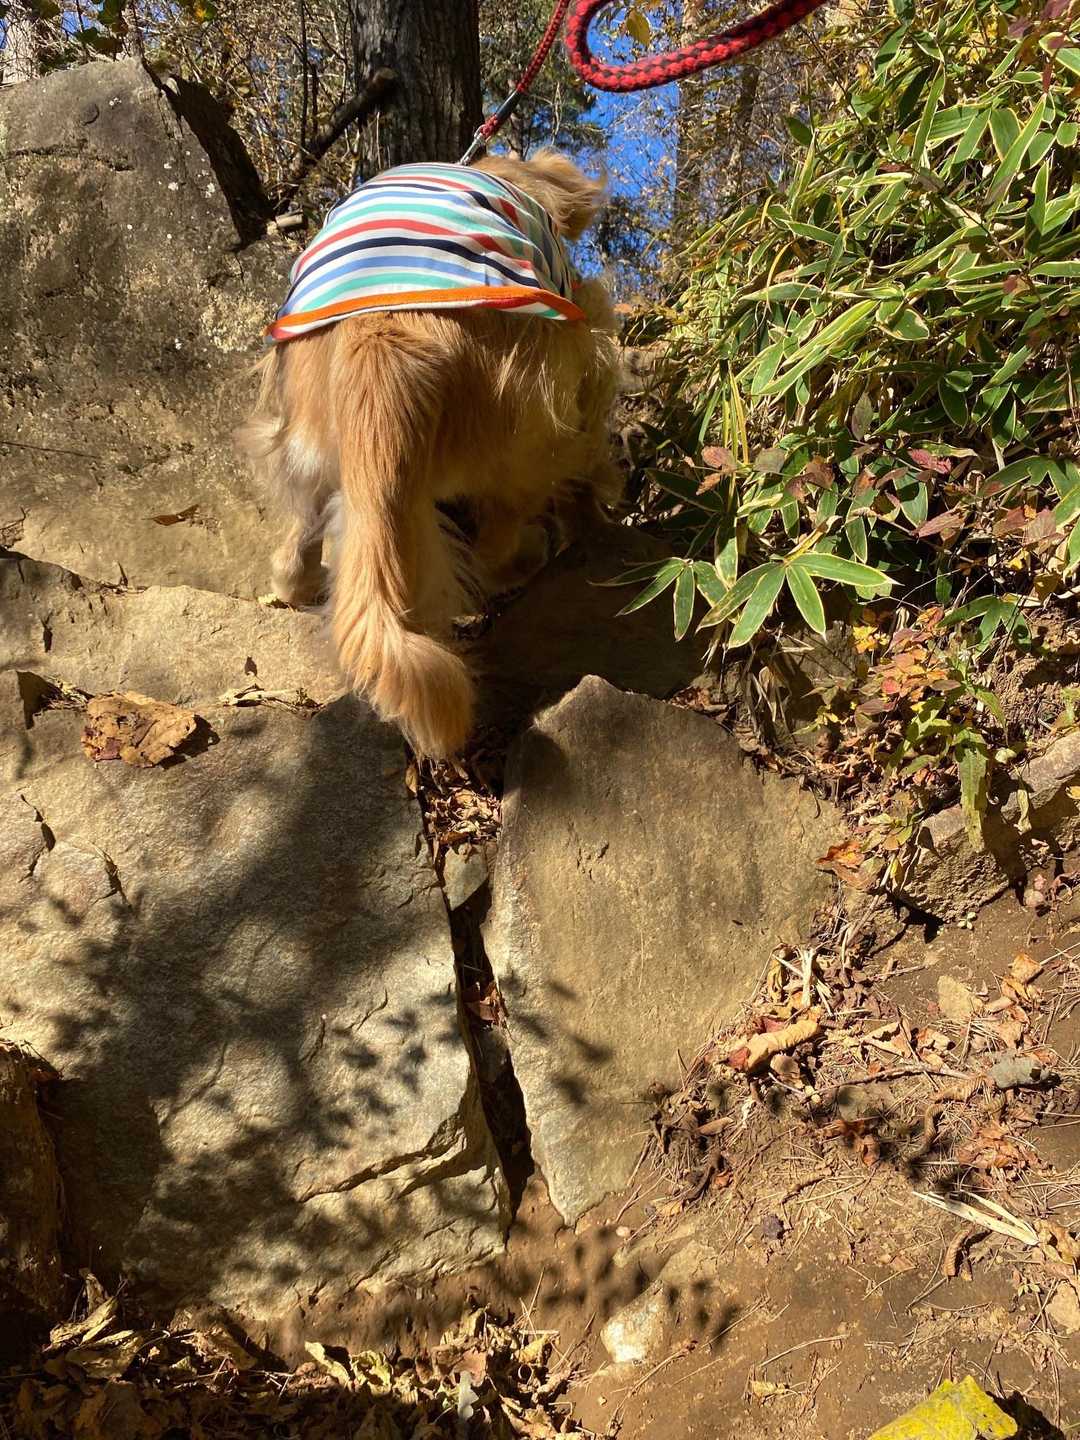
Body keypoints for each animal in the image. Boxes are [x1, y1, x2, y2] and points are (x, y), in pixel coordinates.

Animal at [239, 150, 621, 759]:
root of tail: (380, 333)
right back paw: (534, 551)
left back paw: (295, 584)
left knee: (300, 536)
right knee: (499, 536)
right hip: (545, 394)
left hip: (299, 441)